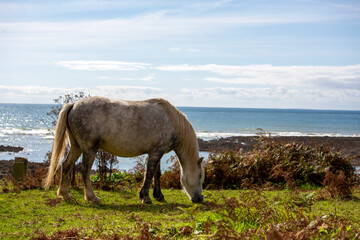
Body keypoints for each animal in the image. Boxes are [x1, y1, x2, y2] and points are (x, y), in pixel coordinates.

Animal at [43, 96, 204, 203]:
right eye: (201, 176)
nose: (200, 198)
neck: (171, 121)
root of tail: (74, 104)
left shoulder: (157, 152)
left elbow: (156, 174)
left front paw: (158, 195)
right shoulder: (156, 153)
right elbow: (149, 174)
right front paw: (145, 197)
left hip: (77, 147)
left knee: (66, 165)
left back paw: (64, 194)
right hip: (89, 148)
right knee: (84, 170)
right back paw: (92, 197)